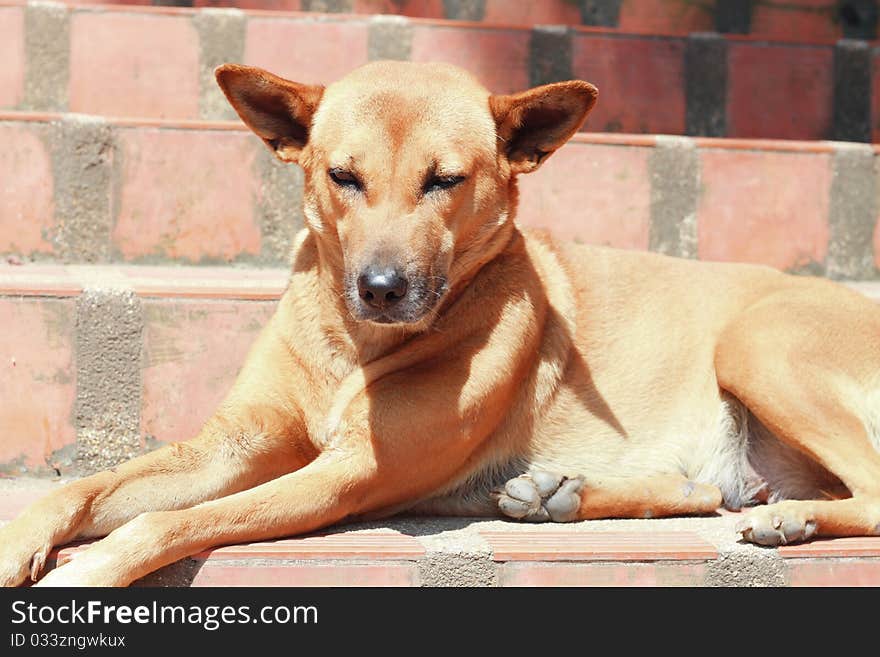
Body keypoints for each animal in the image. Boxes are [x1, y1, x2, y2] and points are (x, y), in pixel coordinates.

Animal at [1, 60, 880, 584]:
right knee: (709, 492)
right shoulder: (236, 443)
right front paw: (20, 540)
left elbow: (174, 518)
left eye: (445, 180)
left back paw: (788, 517)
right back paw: (563, 494)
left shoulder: (352, 472)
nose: (382, 288)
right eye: (342, 176)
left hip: (759, 344)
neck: (350, 345)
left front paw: (87, 572)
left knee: (864, 489)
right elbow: (84, 488)